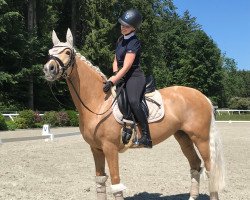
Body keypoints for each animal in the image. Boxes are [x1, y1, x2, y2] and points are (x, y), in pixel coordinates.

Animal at [43, 28, 225, 200]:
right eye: (50, 52)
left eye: (67, 52)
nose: (48, 69)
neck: (100, 103)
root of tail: (202, 96)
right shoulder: (96, 149)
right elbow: (100, 182)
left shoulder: (110, 148)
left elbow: (116, 183)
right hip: (183, 137)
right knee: (195, 165)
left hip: (200, 139)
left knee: (210, 169)